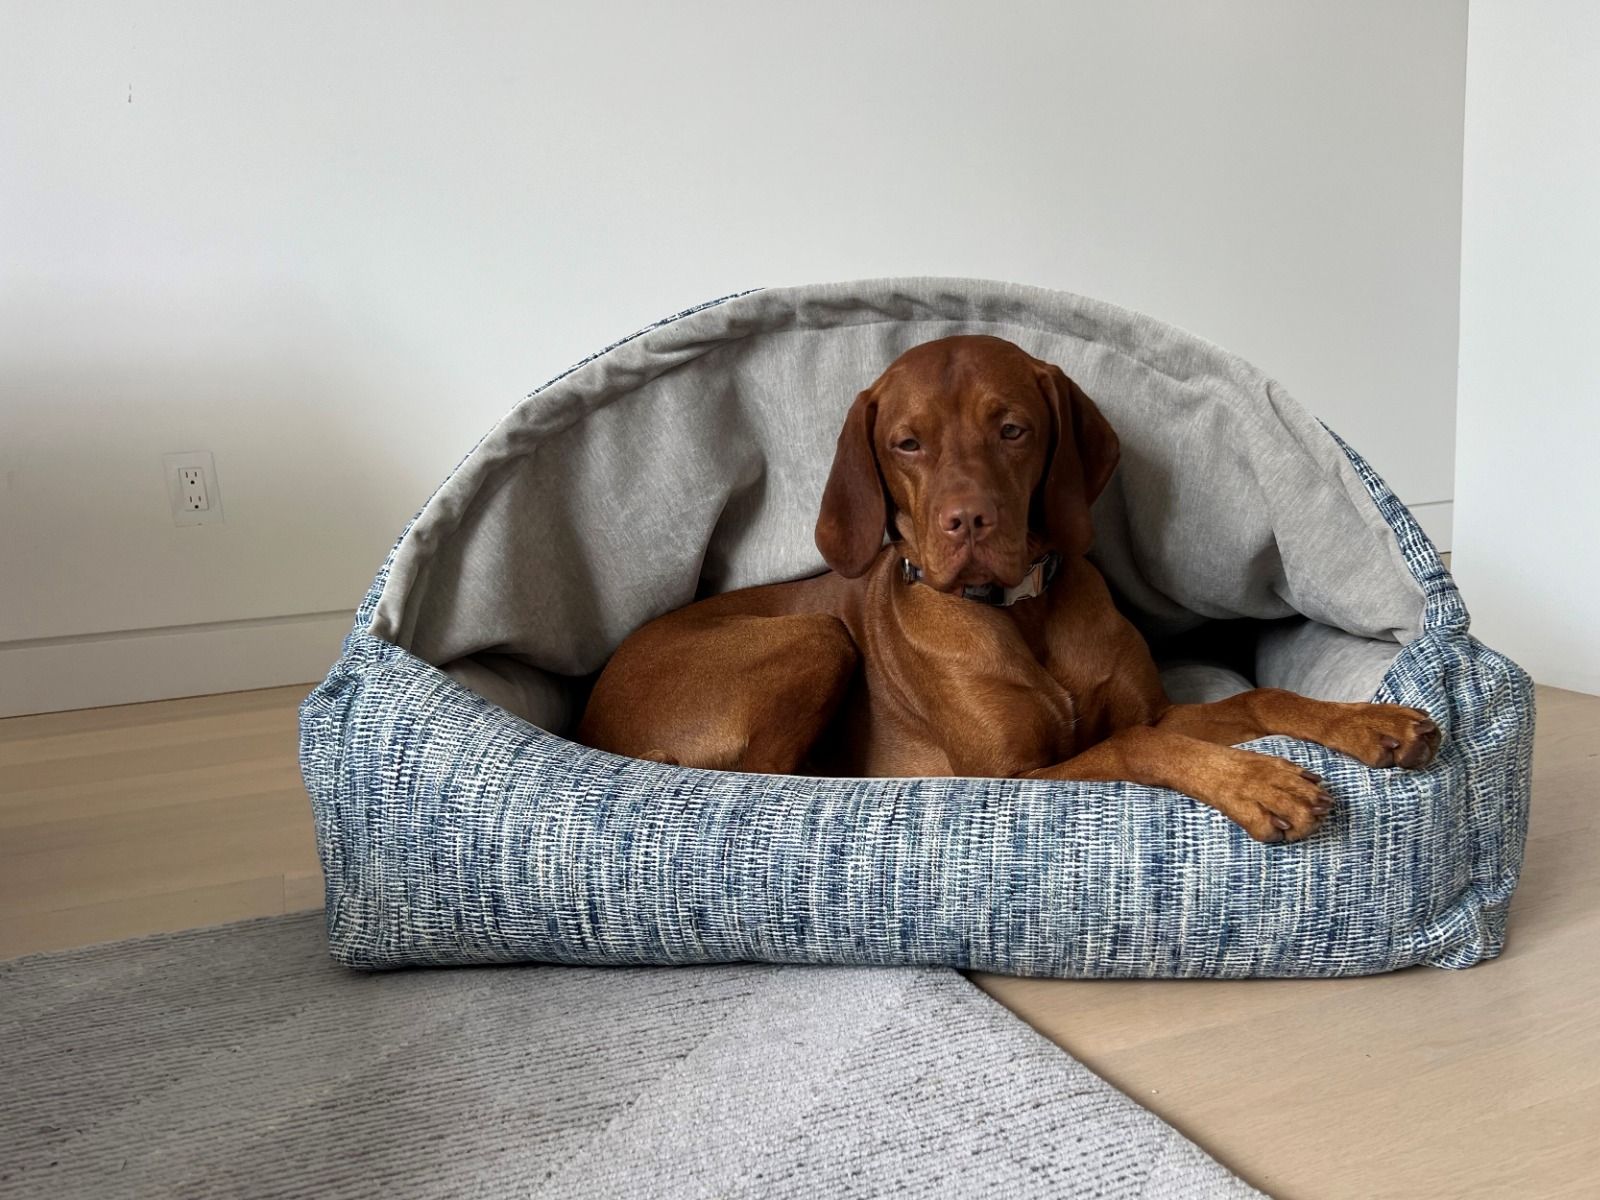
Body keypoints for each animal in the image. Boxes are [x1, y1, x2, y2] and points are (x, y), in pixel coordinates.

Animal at [579, 331, 1440, 844]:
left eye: (1013, 428)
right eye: (908, 443)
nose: (968, 522)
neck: (1022, 611)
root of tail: (592, 723)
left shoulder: (1155, 710)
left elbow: (1256, 699)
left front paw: (1367, 721)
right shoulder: (1015, 777)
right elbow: (1134, 746)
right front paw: (1258, 781)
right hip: (817, 636)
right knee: (765, 781)